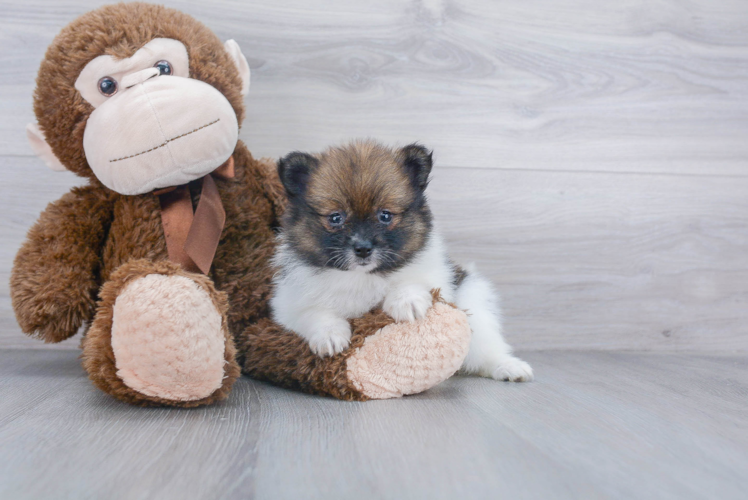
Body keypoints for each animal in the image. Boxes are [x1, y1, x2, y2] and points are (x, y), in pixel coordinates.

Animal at [268, 141, 532, 382]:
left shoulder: (436, 274)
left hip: (474, 304)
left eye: (385, 215)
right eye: (336, 218)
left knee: (486, 349)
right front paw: (329, 336)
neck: (362, 276)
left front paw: (406, 301)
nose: (363, 248)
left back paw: (509, 367)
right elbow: (315, 313)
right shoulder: (289, 303)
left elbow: (413, 279)